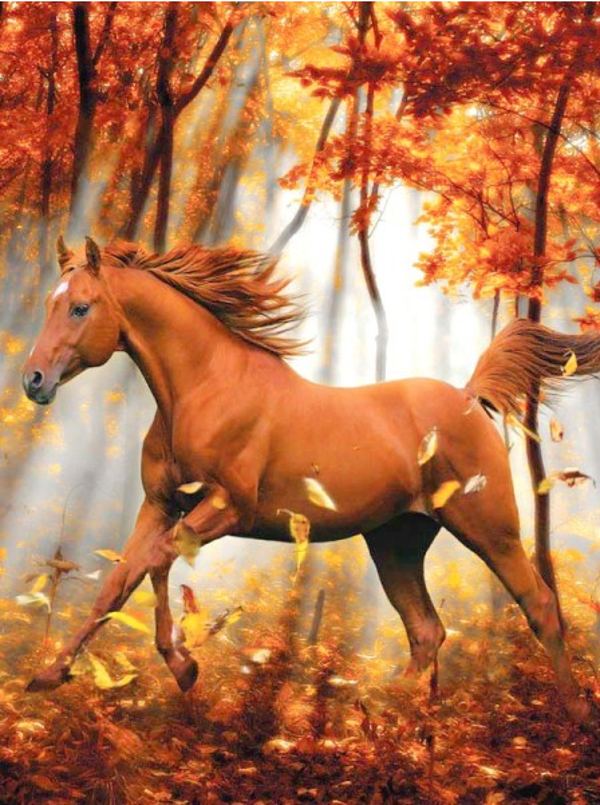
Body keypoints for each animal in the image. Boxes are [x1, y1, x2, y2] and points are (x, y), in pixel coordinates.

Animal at [22, 236, 600, 723]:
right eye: (51, 303)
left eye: (81, 306)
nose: (34, 381)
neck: (205, 389)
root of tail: (466, 397)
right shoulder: (160, 505)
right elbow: (117, 585)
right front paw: (50, 675)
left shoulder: (227, 508)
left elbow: (155, 562)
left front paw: (184, 667)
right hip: (396, 543)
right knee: (426, 630)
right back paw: (384, 713)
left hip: (490, 530)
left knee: (539, 604)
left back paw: (573, 713)